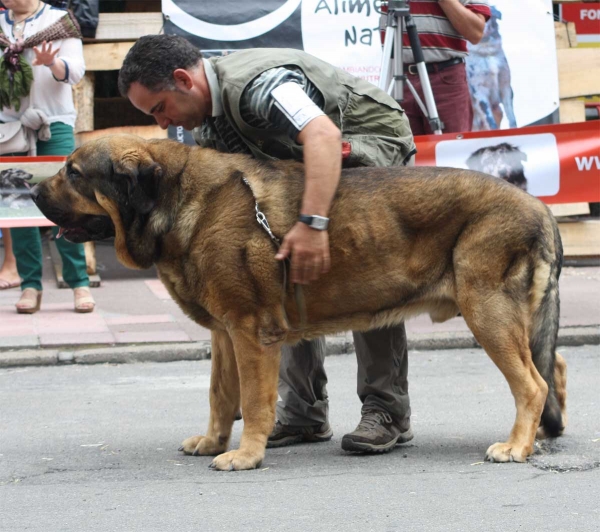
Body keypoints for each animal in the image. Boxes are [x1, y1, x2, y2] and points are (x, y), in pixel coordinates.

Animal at [31, 135, 568, 472]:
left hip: (487, 311)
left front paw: (246, 456)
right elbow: (220, 397)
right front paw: (213, 442)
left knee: (531, 383)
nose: (30, 188)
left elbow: (253, 401)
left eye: (73, 173)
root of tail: (539, 207)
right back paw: (543, 433)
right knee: (554, 365)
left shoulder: (250, 333)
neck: (179, 200)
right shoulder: (224, 334)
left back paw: (516, 446)